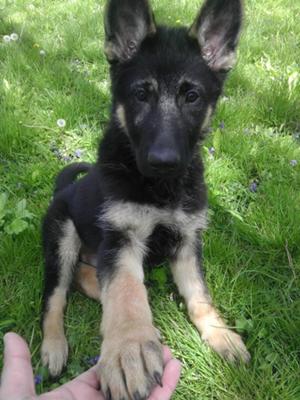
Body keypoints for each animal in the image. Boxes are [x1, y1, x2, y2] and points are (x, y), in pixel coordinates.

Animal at [41, 0, 250, 396]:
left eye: (192, 97)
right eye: (141, 95)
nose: (163, 162)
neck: (160, 191)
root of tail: (62, 189)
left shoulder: (187, 239)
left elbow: (199, 295)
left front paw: (220, 334)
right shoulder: (122, 236)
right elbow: (125, 291)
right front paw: (130, 347)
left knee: (84, 277)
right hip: (62, 237)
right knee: (55, 295)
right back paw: (54, 345)